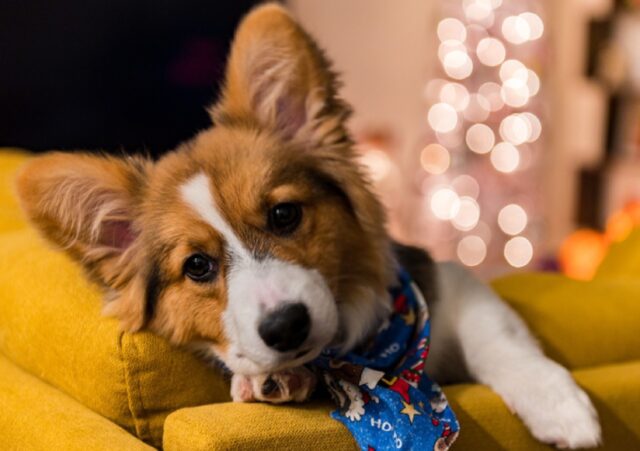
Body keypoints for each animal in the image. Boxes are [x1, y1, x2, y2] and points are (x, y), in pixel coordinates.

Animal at [17, 2, 604, 448]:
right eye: (197, 266)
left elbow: (499, 337)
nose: (285, 328)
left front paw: (559, 405)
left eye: (284, 215)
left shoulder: (453, 280)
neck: (363, 359)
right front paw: (268, 376)